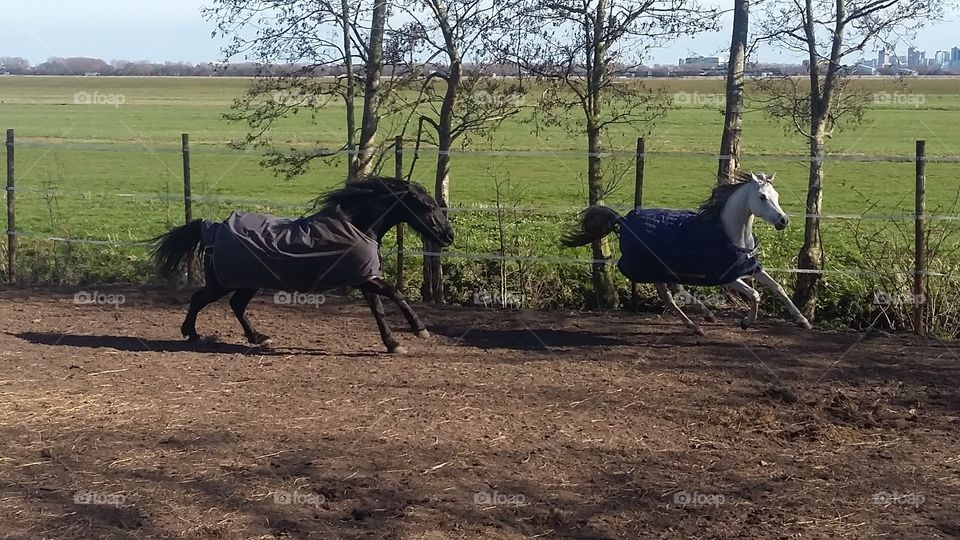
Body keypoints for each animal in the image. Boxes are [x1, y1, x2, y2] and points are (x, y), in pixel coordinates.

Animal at [151, 176, 455, 353]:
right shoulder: (367, 279)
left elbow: (378, 309)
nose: (449, 236)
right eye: (428, 206)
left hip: (248, 281)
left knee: (235, 305)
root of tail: (212, 227)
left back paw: (258, 337)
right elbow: (396, 294)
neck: (358, 226)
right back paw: (192, 334)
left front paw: (392, 343)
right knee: (200, 299)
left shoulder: (364, 277)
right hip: (224, 282)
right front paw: (419, 330)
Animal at [562, 172, 812, 335]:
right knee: (671, 298)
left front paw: (803, 321)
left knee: (676, 291)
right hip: (655, 271)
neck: (732, 234)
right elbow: (755, 294)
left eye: (777, 195)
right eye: (762, 197)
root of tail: (622, 220)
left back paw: (705, 315)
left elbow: (777, 288)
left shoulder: (750, 267)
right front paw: (746, 322)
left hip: (666, 271)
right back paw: (698, 325)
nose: (783, 220)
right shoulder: (725, 276)